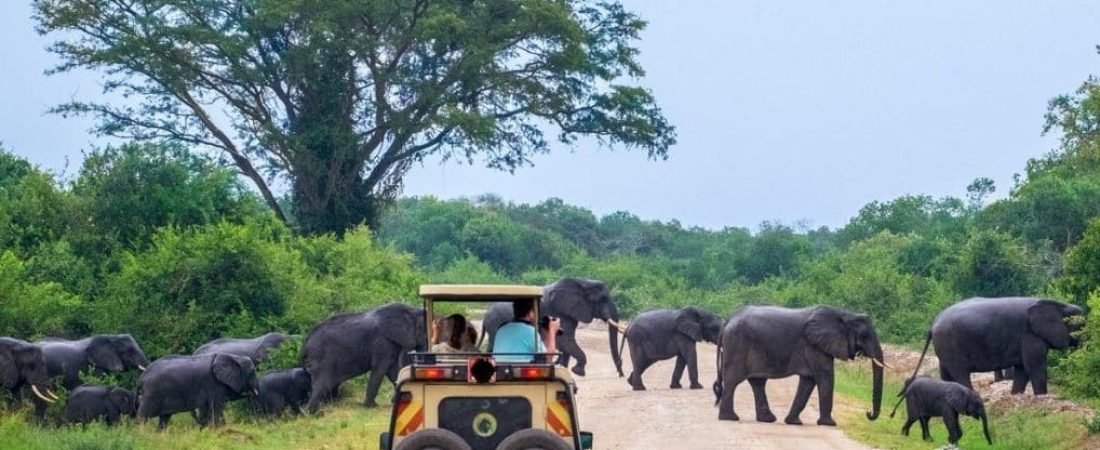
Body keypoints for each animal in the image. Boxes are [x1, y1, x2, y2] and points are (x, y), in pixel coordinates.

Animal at [479, 277, 624, 376]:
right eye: (603, 299)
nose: (620, 373)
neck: (583, 282)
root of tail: (485, 315)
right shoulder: (560, 311)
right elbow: (565, 340)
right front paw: (577, 371)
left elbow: (566, 341)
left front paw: (563, 368)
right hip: (495, 324)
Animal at [712, 305, 884, 424]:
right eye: (864, 335)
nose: (868, 413)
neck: (844, 314)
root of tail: (728, 321)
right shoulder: (815, 346)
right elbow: (825, 378)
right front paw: (830, 424)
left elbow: (808, 381)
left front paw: (793, 422)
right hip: (737, 345)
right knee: (733, 381)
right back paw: (730, 418)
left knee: (757, 382)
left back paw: (767, 419)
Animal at [910, 297, 1082, 393]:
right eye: (1080, 326)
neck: (1059, 304)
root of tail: (933, 324)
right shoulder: (1030, 335)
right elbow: (1034, 366)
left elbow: (1022, 370)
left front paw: (1016, 396)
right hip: (950, 345)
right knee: (960, 373)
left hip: (944, 346)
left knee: (946, 373)